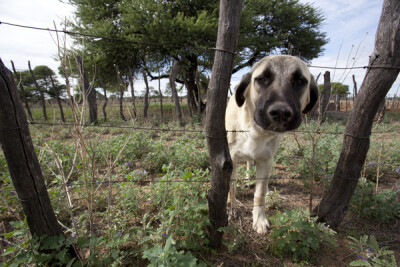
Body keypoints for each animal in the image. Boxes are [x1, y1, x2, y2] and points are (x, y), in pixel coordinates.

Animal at [227, 55, 318, 234]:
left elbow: (260, 193)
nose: (281, 113)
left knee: (250, 165)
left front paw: (259, 219)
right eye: (262, 79)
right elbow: (231, 187)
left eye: (299, 81)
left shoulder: (266, 161)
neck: (255, 131)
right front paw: (232, 209)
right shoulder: (231, 158)